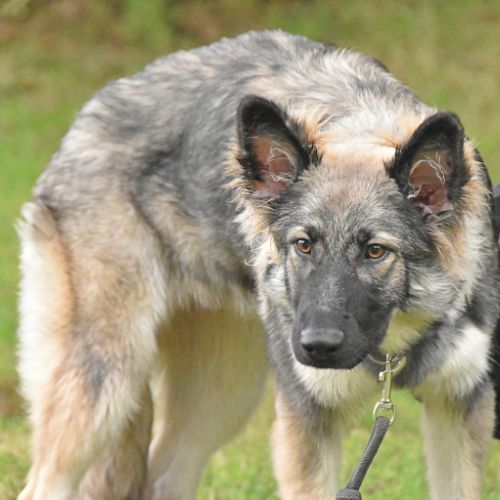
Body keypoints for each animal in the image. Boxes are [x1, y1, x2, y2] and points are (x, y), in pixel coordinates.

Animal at [17, 30, 500, 499]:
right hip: (107, 384)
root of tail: (86, 121)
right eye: (303, 245)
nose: (316, 346)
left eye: (375, 252)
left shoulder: (458, 409)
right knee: (44, 484)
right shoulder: (306, 424)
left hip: (221, 396)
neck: (391, 347)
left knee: (163, 476)